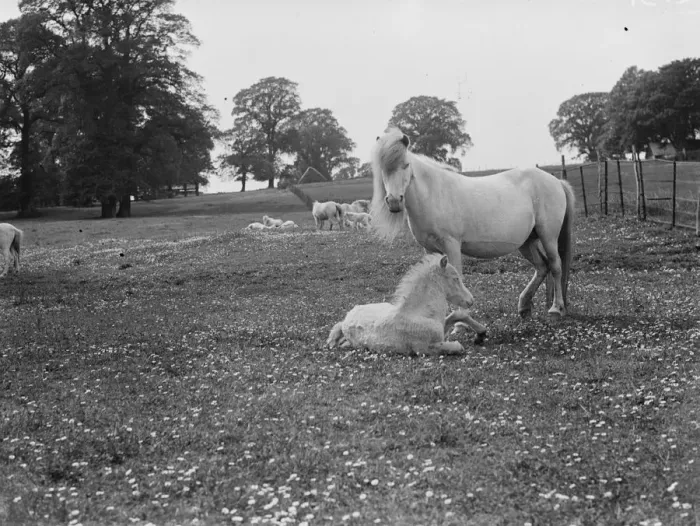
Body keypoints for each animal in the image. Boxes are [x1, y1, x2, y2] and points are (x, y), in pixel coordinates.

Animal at [327, 254, 477, 355]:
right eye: (456, 279)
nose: (471, 300)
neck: (418, 313)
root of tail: (347, 318)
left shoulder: (441, 331)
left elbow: (456, 316)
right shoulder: (424, 349)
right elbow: (458, 346)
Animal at [370, 128, 575, 340]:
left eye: (406, 165)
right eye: (383, 169)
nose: (394, 201)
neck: (434, 194)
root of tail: (556, 181)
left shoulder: (451, 245)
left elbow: (458, 276)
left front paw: (459, 325)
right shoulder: (428, 249)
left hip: (548, 236)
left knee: (555, 266)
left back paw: (556, 309)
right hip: (527, 242)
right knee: (542, 267)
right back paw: (524, 307)